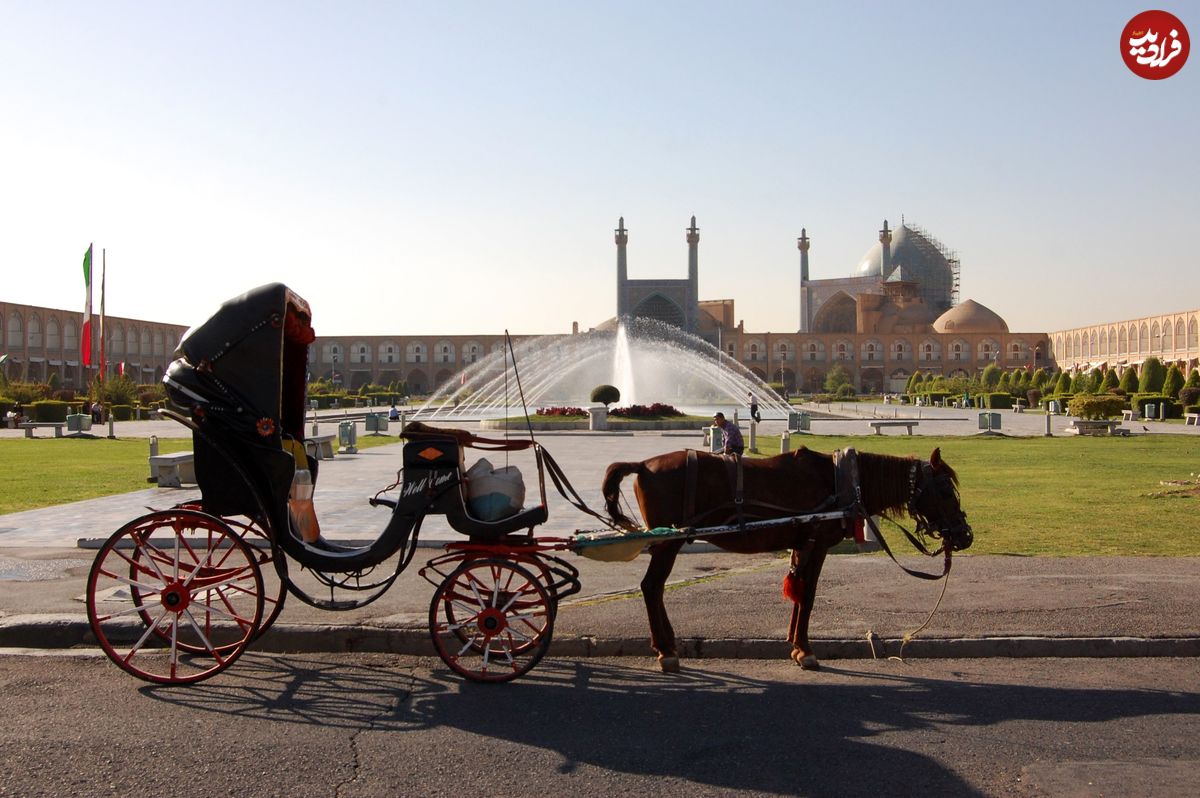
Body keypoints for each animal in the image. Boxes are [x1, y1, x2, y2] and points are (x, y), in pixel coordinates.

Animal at [600, 444, 974, 667]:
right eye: (944, 489)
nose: (965, 535)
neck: (842, 481)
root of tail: (644, 465)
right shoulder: (818, 541)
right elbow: (808, 595)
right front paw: (806, 650)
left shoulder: (803, 540)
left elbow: (798, 591)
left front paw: (795, 644)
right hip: (668, 541)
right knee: (651, 586)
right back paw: (665, 650)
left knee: (656, 587)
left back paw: (668, 643)